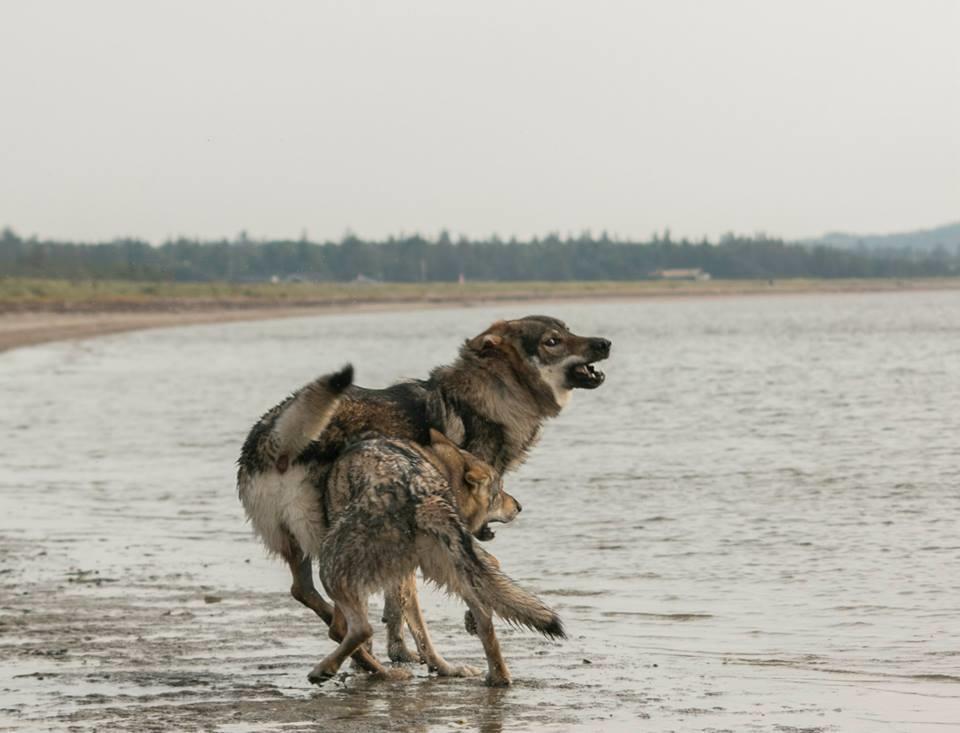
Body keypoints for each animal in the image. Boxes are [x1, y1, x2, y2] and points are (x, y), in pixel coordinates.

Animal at [314, 428, 564, 688]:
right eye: (499, 492)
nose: (519, 506)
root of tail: (423, 493)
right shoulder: (412, 575)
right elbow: (417, 627)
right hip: (448, 566)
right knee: (484, 620)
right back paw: (493, 676)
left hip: (329, 568)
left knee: (355, 628)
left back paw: (326, 669)